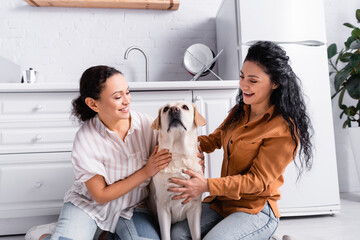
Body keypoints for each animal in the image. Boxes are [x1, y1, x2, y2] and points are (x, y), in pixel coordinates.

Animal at [149, 101, 205, 240]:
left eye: (185, 107)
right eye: (165, 109)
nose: (174, 109)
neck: (178, 154)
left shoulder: (194, 207)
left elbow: (196, 234)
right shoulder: (163, 207)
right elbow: (165, 235)